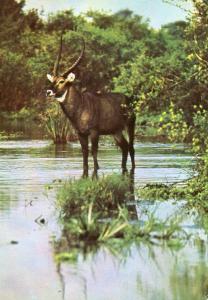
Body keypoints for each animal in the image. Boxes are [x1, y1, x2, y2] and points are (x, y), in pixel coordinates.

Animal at [46, 35, 136, 177]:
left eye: (62, 81)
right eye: (52, 80)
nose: (48, 91)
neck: (80, 106)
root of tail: (128, 99)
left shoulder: (94, 132)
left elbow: (94, 151)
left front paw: (96, 170)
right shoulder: (81, 133)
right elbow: (84, 152)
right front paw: (85, 173)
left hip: (130, 125)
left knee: (131, 147)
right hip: (116, 131)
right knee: (125, 147)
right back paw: (123, 168)